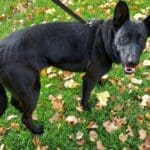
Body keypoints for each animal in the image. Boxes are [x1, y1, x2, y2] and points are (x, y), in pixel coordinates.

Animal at [0, 0, 149, 133]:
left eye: (142, 39)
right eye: (124, 37)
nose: (132, 62)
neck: (104, 38)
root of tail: (2, 48)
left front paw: (101, 84)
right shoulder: (89, 77)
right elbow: (86, 96)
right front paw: (87, 109)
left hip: (22, 89)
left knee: (16, 103)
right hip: (32, 89)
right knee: (24, 117)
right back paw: (36, 130)